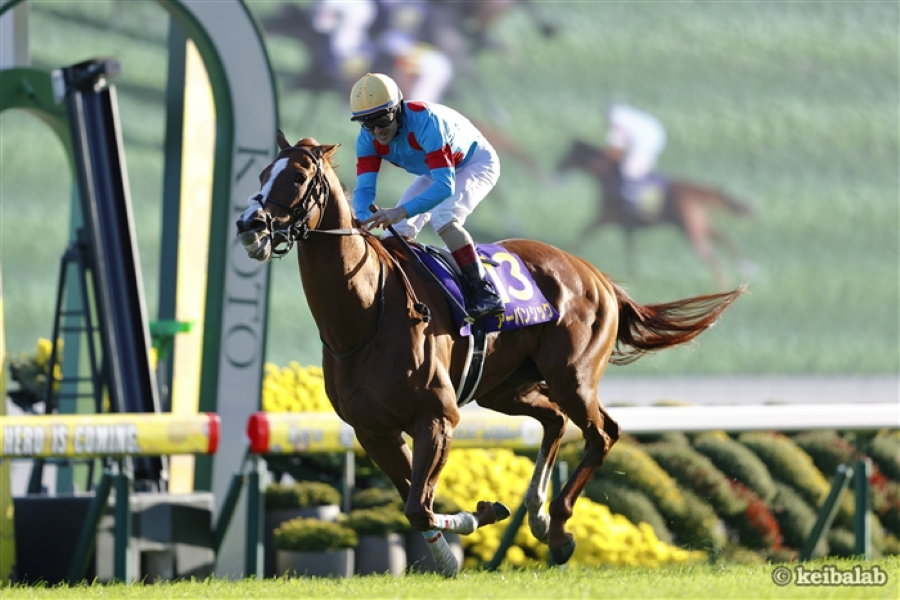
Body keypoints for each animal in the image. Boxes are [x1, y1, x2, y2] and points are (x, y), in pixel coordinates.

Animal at [558, 139, 754, 290]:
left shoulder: (605, 217)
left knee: (714, 257)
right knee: (726, 240)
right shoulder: (626, 225)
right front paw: (634, 276)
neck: (610, 175)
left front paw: (565, 254)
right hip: (701, 225)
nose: (558, 166)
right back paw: (745, 268)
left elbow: (584, 234)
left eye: (569, 154)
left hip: (692, 230)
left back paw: (727, 284)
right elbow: (630, 248)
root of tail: (692, 190)